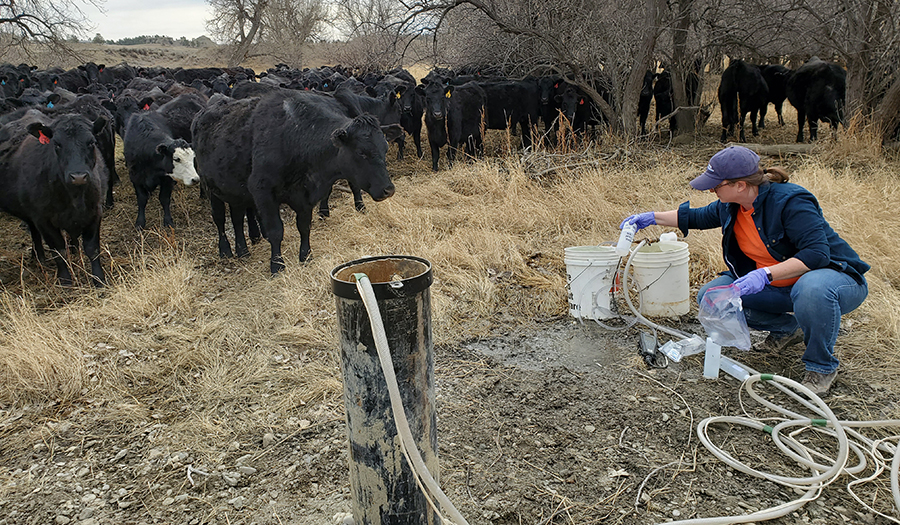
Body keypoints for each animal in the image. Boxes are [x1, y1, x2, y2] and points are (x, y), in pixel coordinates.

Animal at [0, 110, 109, 286]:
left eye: (91, 142)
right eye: (57, 144)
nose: (78, 176)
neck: (75, 197)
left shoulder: (95, 212)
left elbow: (93, 249)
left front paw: (99, 280)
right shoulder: (43, 219)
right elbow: (59, 251)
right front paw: (65, 281)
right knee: (35, 233)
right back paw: (40, 258)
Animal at [195, 89, 402, 270]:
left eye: (385, 147)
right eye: (361, 152)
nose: (389, 189)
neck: (295, 137)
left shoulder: (306, 196)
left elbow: (304, 226)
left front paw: (306, 257)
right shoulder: (263, 192)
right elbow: (275, 231)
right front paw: (277, 266)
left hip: (234, 191)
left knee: (237, 219)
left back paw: (243, 250)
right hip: (211, 188)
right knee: (219, 218)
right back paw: (225, 250)